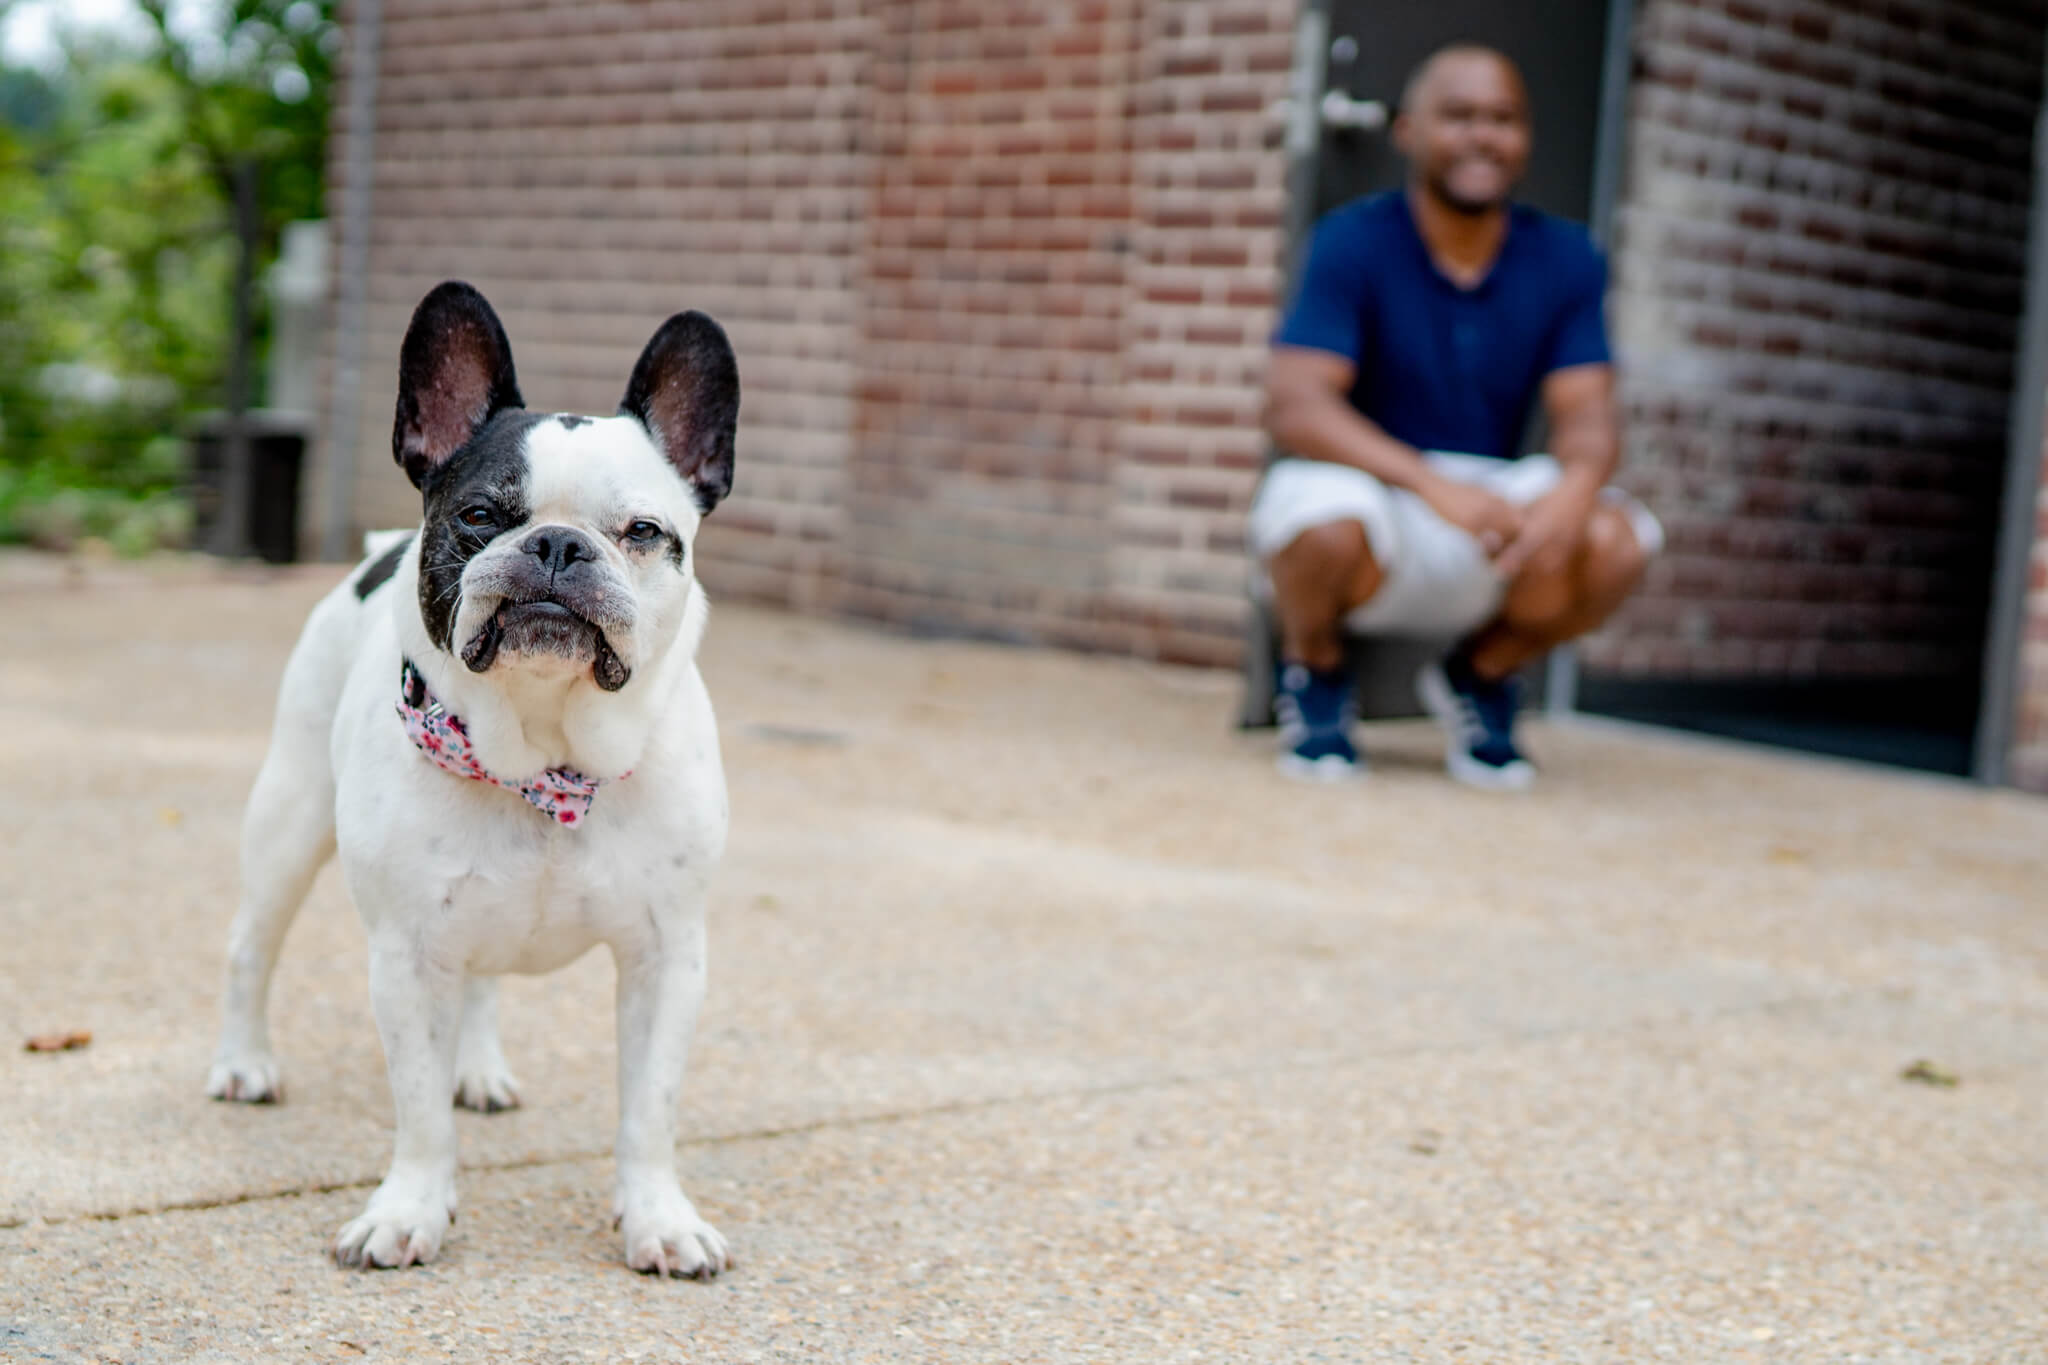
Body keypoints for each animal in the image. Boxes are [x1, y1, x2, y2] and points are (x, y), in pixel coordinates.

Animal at [199, 280, 741, 1285]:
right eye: (483, 516)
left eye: (645, 533)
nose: (558, 544)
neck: (545, 756)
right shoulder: (407, 957)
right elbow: (417, 1112)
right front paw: (408, 1210)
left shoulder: (667, 958)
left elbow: (650, 1109)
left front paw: (660, 1218)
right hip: (289, 818)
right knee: (251, 946)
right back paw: (243, 1063)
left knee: (485, 979)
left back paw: (477, 1069)